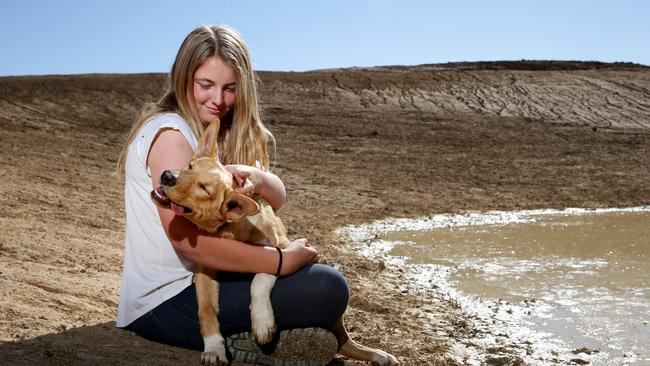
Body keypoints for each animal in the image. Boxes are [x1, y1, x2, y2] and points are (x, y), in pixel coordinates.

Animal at [150, 120, 398, 366]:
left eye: (204, 188)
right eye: (189, 166)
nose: (167, 176)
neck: (235, 229)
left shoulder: (289, 248)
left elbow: (263, 273)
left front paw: (262, 323)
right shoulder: (205, 268)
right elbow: (207, 310)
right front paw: (214, 348)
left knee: (345, 340)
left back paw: (378, 355)